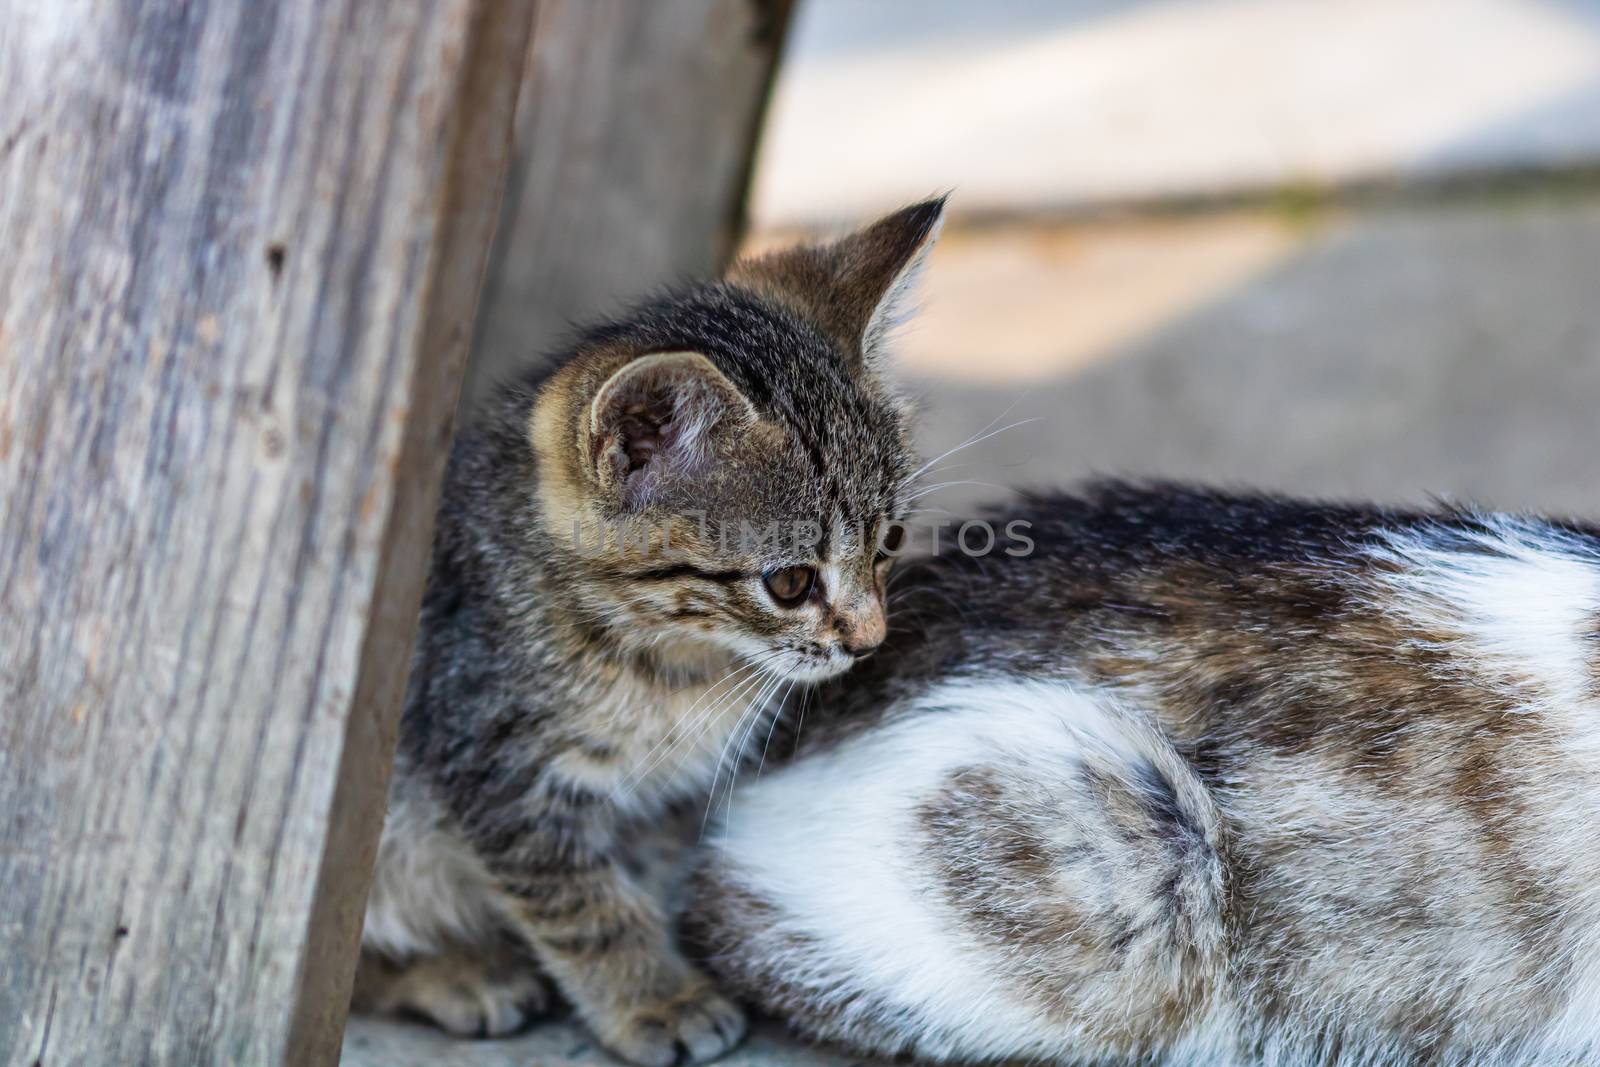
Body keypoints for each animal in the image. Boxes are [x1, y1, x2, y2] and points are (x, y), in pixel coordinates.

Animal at [356, 198, 940, 1062]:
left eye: (889, 543)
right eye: (790, 582)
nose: (868, 641)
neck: (675, 663)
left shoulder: (666, 802)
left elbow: (656, 872)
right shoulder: (498, 767)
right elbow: (587, 905)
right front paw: (655, 998)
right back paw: (456, 970)